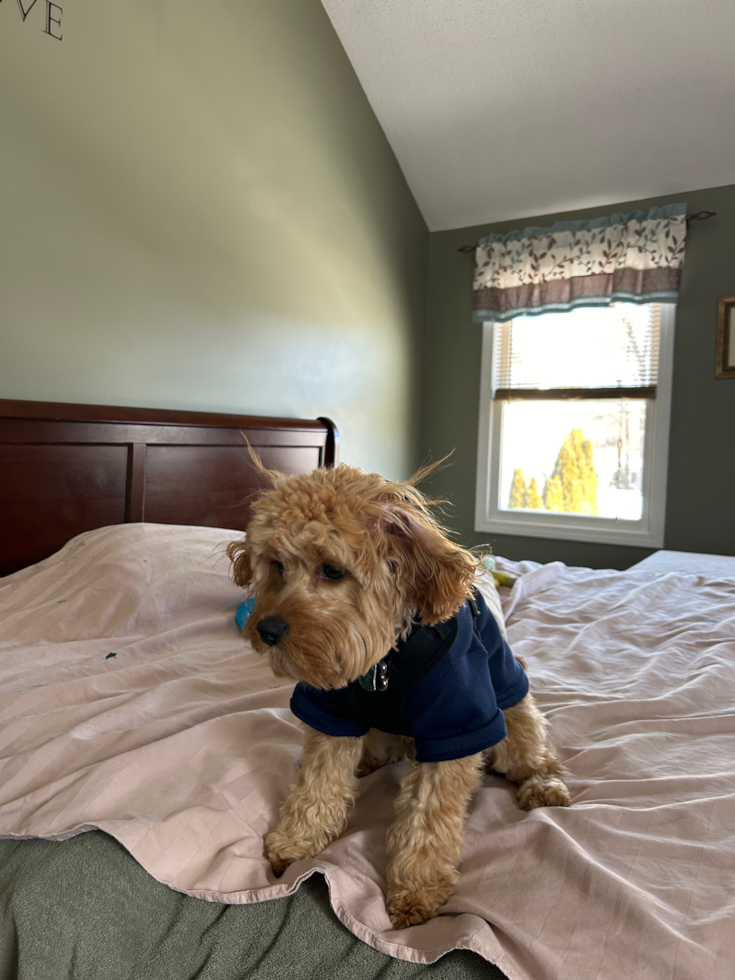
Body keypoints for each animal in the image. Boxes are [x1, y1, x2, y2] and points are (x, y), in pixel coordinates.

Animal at [229, 464, 568, 932]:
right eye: (277, 565)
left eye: (332, 571)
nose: (267, 630)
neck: (384, 662)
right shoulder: (331, 713)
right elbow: (317, 782)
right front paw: (298, 841)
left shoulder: (453, 726)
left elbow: (428, 817)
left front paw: (417, 888)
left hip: (513, 722)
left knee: (533, 754)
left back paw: (543, 784)